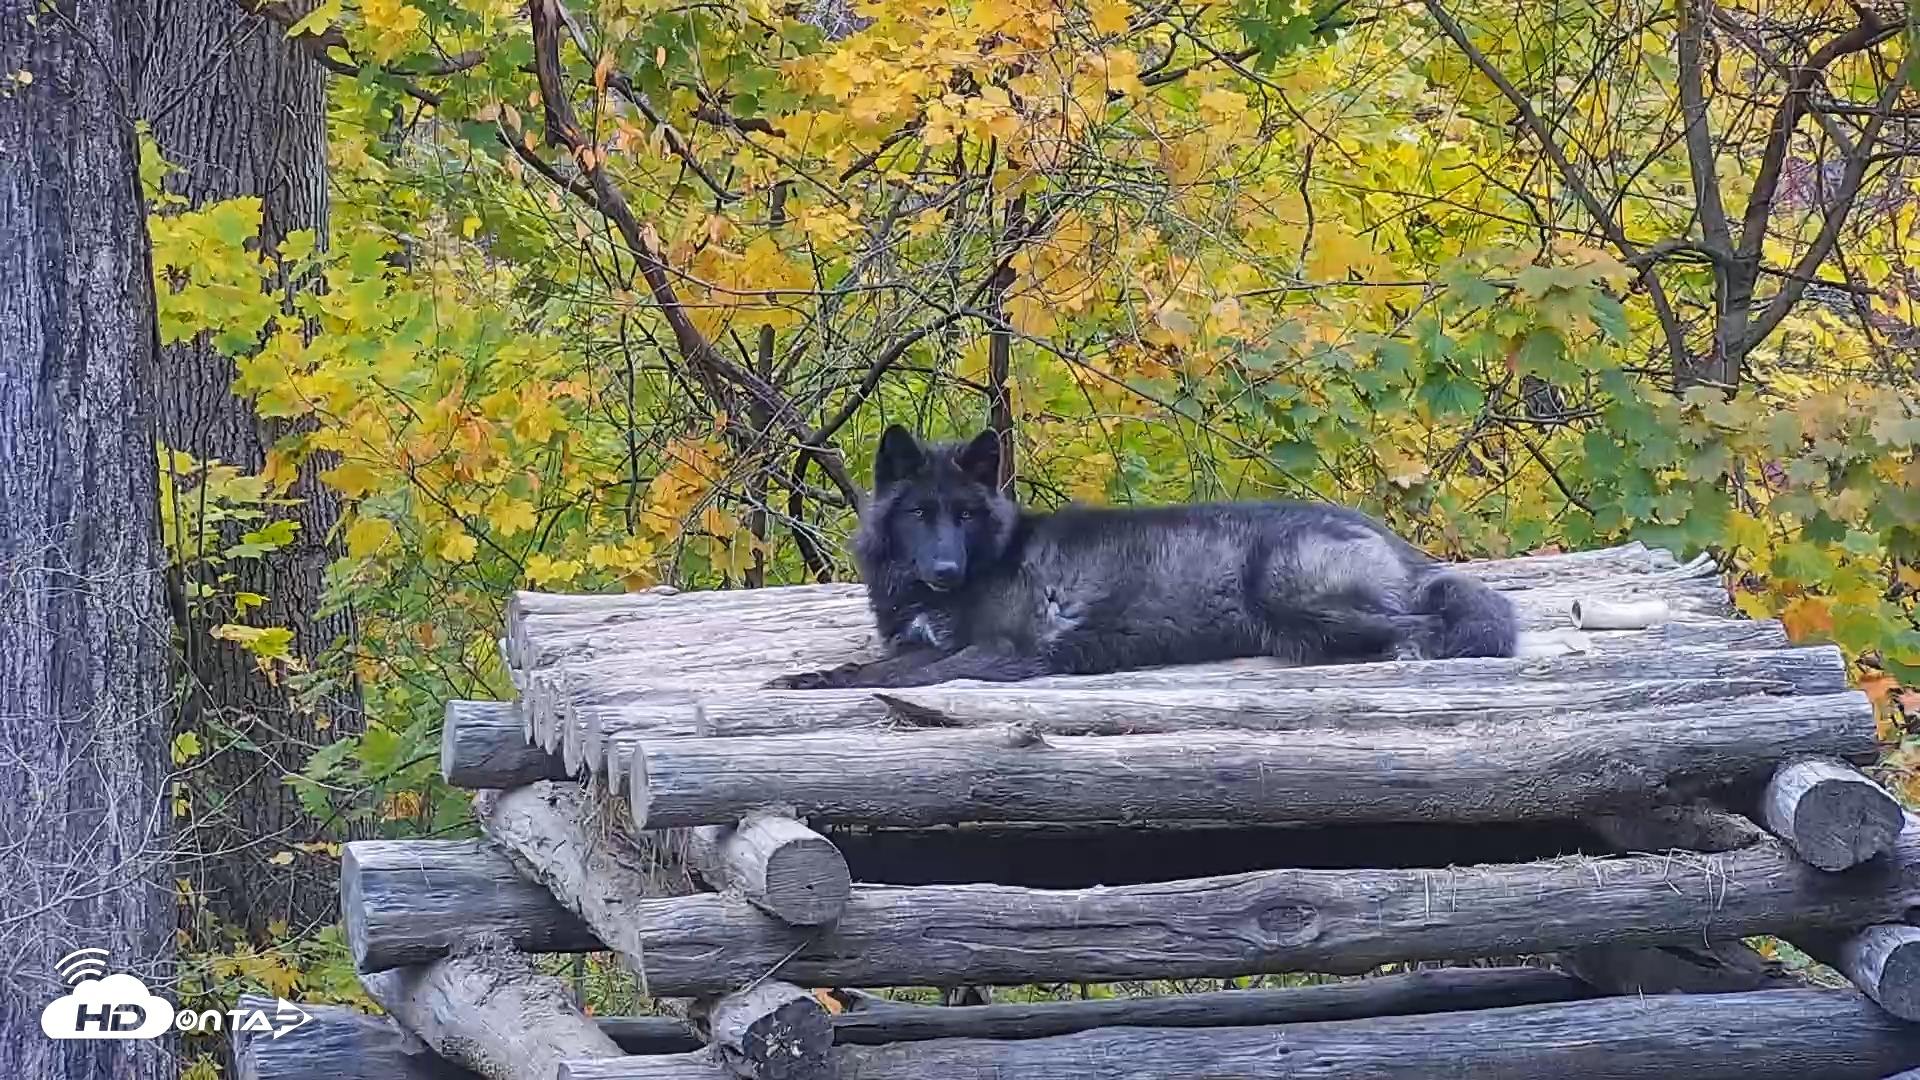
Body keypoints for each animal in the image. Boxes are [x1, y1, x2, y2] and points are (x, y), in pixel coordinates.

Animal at [767, 425, 1518, 690]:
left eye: (967, 516)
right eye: (921, 515)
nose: (945, 570)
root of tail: (1393, 541)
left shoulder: (1006, 652)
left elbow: (918, 673)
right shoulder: (919, 638)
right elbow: (872, 665)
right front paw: (811, 675)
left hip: (1290, 597)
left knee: (1423, 627)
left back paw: (1406, 653)